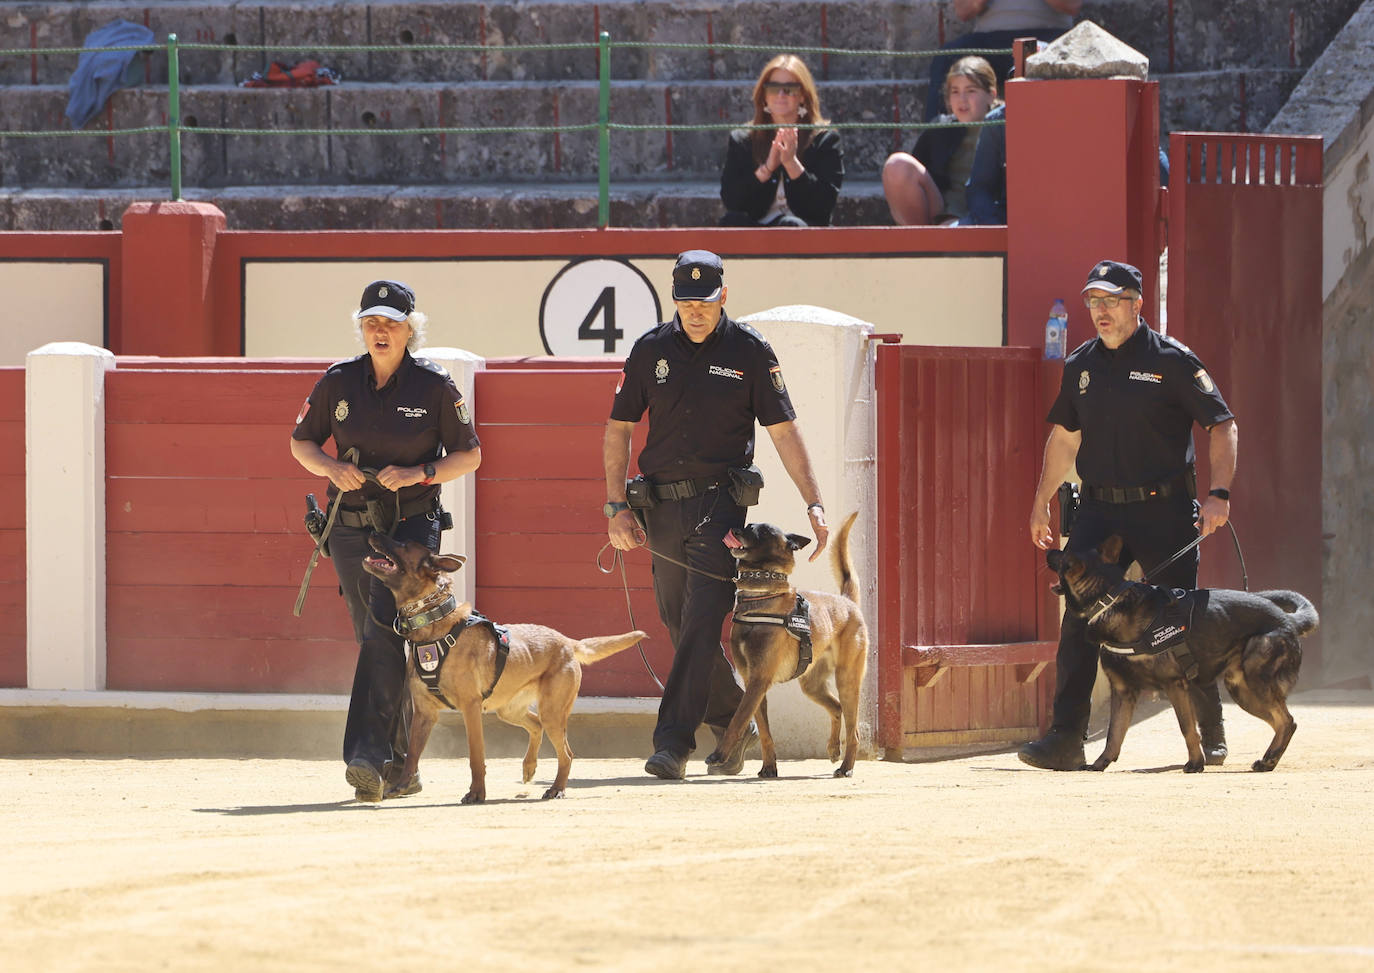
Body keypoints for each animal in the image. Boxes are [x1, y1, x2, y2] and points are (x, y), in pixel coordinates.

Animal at [362, 535, 645, 802]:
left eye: (404, 544)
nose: (374, 533)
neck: (432, 622)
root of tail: (567, 641)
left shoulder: (471, 707)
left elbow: (476, 756)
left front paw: (477, 793)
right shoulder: (424, 713)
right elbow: (412, 755)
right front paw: (400, 787)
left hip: (552, 712)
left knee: (566, 753)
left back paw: (557, 789)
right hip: (510, 709)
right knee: (536, 725)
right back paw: (529, 767)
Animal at [708, 513, 868, 780]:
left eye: (762, 532)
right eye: (749, 525)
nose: (734, 530)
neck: (761, 596)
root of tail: (847, 603)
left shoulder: (758, 680)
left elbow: (737, 720)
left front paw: (720, 755)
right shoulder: (754, 683)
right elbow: (764, 732)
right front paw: (769, 767)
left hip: (847, 680)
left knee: (853, 729)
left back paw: (846, 767)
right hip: (812, 686)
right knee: (836, 708)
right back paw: (833, 748)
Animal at [1049, 535, 1319, 769]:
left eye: (1064, 556)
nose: (1047, 549)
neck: (1108, 599)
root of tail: (1287, 620)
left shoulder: (1174, 684)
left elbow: (1187, 727)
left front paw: (1196, 763)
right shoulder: (1124, 691)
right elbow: (1114, 733)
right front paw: (1100, 763)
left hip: (1255, 682)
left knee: (1287, 721)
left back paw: (1267, 760)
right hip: (1243, 691)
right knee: (1283, 723)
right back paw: (1268, 761)